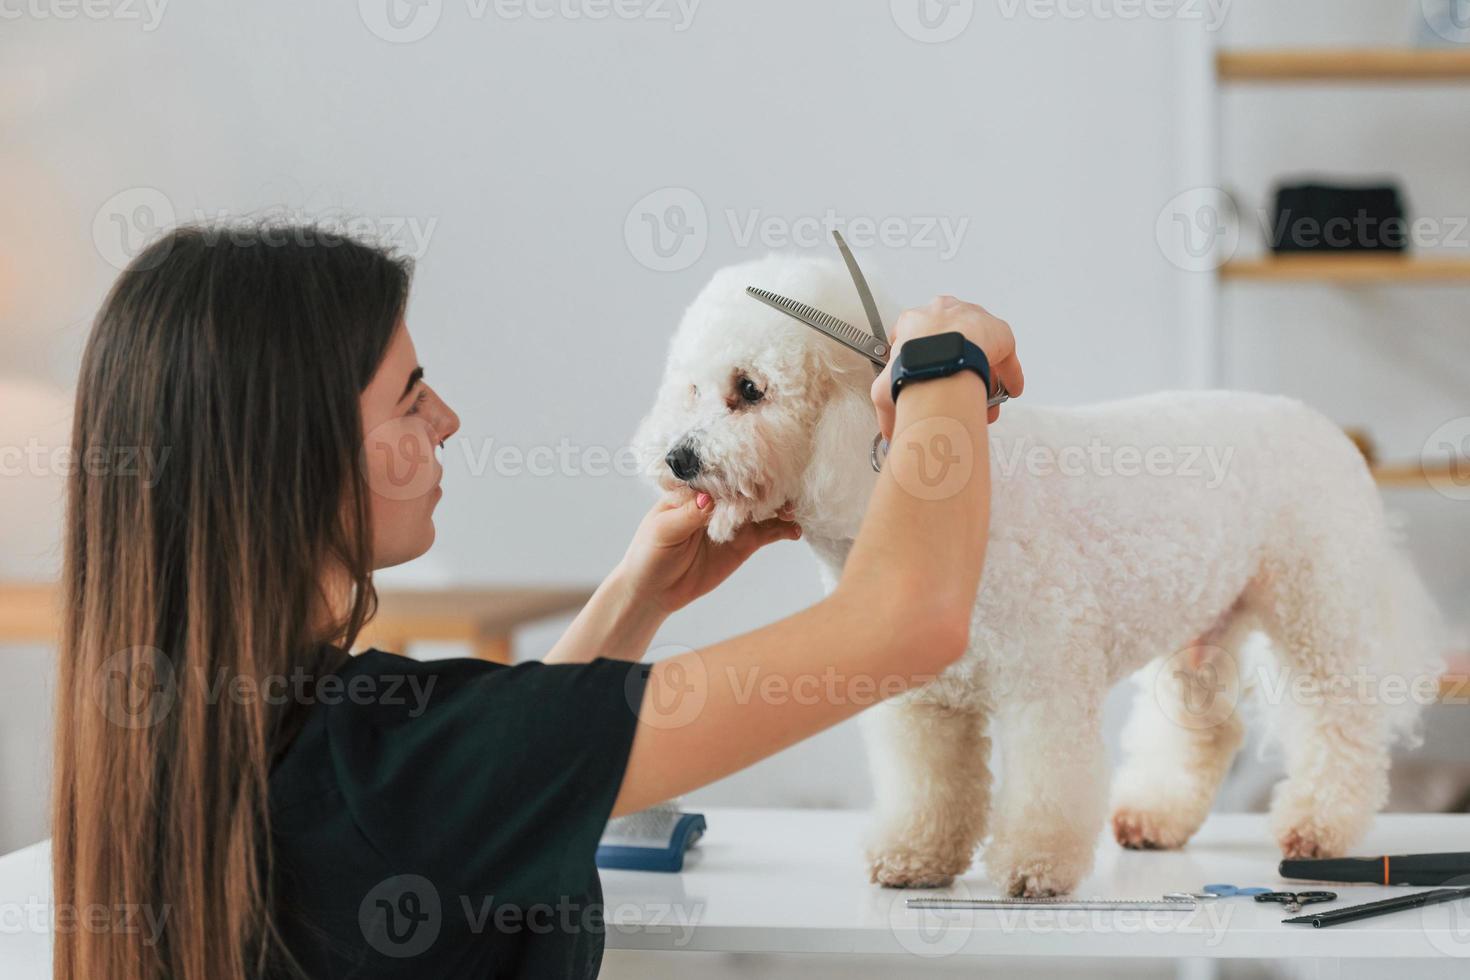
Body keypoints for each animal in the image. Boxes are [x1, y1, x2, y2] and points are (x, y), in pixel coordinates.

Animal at [629, 252, 1434, 899]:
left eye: (749, 389)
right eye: (690, 389)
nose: (677, 458)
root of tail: (1320, 424)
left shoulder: (1043, 684)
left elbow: (1046, 785)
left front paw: (1035, 867)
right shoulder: (926, 701)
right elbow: (931, 787)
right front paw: (916, 856)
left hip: (1320, 604)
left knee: (1340, 721)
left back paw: (1319, 826)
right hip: (1207, 624)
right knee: (1205, 726)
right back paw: (1157, 815)